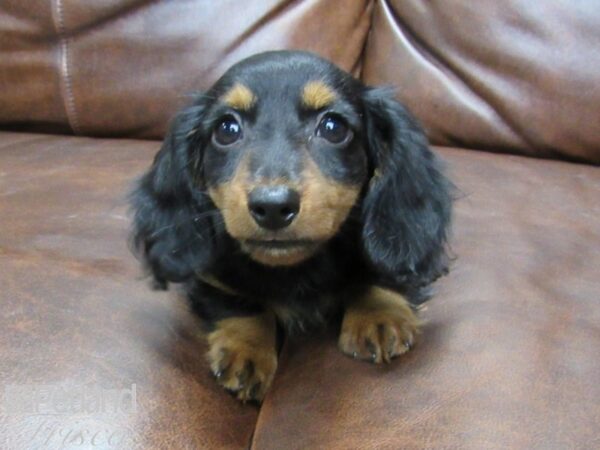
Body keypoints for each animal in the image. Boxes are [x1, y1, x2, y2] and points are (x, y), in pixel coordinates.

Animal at [130, 51, 450, 402]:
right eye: (227, 128)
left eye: (333, 127)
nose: (273, 207)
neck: (295, 269)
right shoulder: (210, 275)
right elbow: (239, 302)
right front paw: (247, 350)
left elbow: (380, 272)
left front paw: (378, 314)